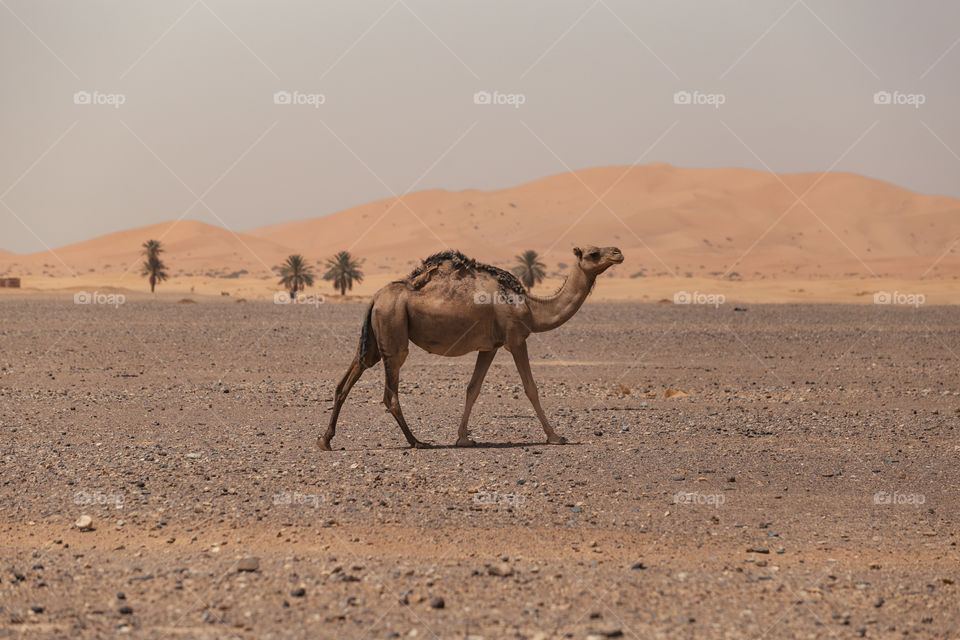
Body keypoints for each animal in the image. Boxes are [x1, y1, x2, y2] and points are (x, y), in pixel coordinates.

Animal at [318, 245, 624, 450]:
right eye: (593, 253)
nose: (617, 252)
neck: (530, 308)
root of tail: (374, 297)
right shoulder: (516, 339)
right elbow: (531, 388)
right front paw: (555, 437)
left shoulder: (490, 347)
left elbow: (473, 389)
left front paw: (464, 438)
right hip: (393, 331)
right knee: (390, 394)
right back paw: (417, 441)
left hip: (374, 337)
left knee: (347, 379)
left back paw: (326, 439)